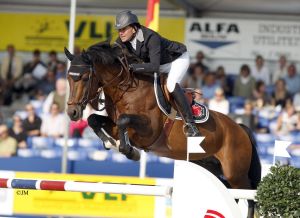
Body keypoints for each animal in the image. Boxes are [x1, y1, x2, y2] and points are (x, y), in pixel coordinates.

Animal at [65, 41, 260, 218]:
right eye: (68, 78)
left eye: (84, 78)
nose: (72, 112)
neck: (126, 88)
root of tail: (240, 128)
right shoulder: (117, 126)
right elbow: (94, 120)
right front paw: (111, 143)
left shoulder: (149, 130)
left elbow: (123, 120)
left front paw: (130, 151)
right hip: (212, 168)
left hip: (235, 173)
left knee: (250, 196)